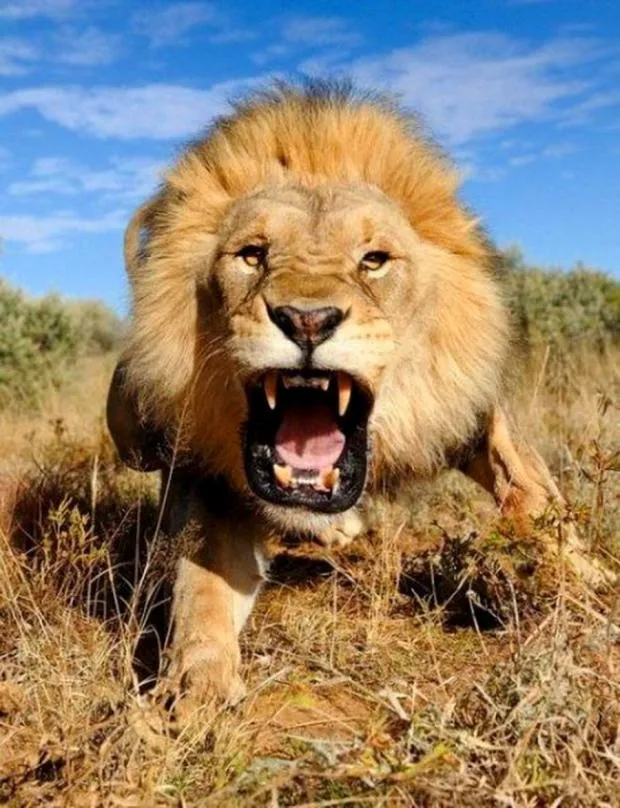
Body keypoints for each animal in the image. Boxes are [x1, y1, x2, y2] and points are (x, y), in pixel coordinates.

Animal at [106, 83, 602, 711]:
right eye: (252, 254)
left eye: (374, 260)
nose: (307, 320)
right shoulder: (212, 478)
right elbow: (204, 587)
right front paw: (195, 685)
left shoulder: (470, 410)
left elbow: (535, 497)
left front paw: (593, 583)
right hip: (134, 427)